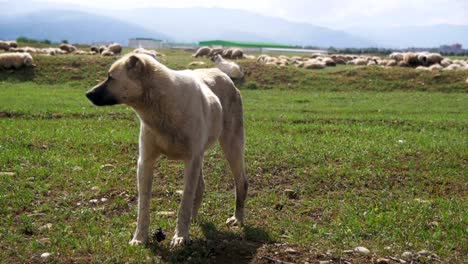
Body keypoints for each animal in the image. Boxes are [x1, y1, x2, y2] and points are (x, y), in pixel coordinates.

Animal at [87, 52, 249, 246]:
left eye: (110, 77)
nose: (87, 94)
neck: (160, 104)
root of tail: (224, 75)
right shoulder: (146, 162)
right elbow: (143, 206)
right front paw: (139, 238)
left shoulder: (191, 160)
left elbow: (184, 204)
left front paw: (180, 236)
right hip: (202, 156)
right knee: (200, 187)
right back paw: (194, 218)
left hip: (231, 147)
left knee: (241, 183)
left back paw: (237, 218)